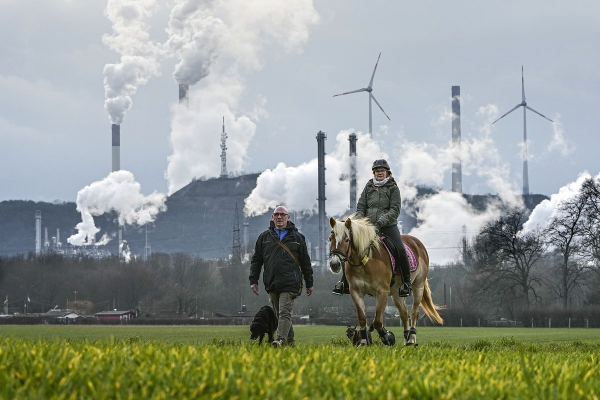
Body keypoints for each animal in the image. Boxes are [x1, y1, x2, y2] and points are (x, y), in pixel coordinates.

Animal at [328, 216, 440, 346]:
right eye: (330, 239)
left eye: (346, 240)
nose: (334, 264)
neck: (365, 261)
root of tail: (417, 243)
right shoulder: (356, 292)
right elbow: (362, 318)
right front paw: (363, 341)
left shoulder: (382, 292)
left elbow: (377, 321)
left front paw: (387, 337)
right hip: (396, 293)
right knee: (404, 313)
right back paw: (406, 338)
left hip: (418, 285)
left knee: (414, 312)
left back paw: (411, 339)